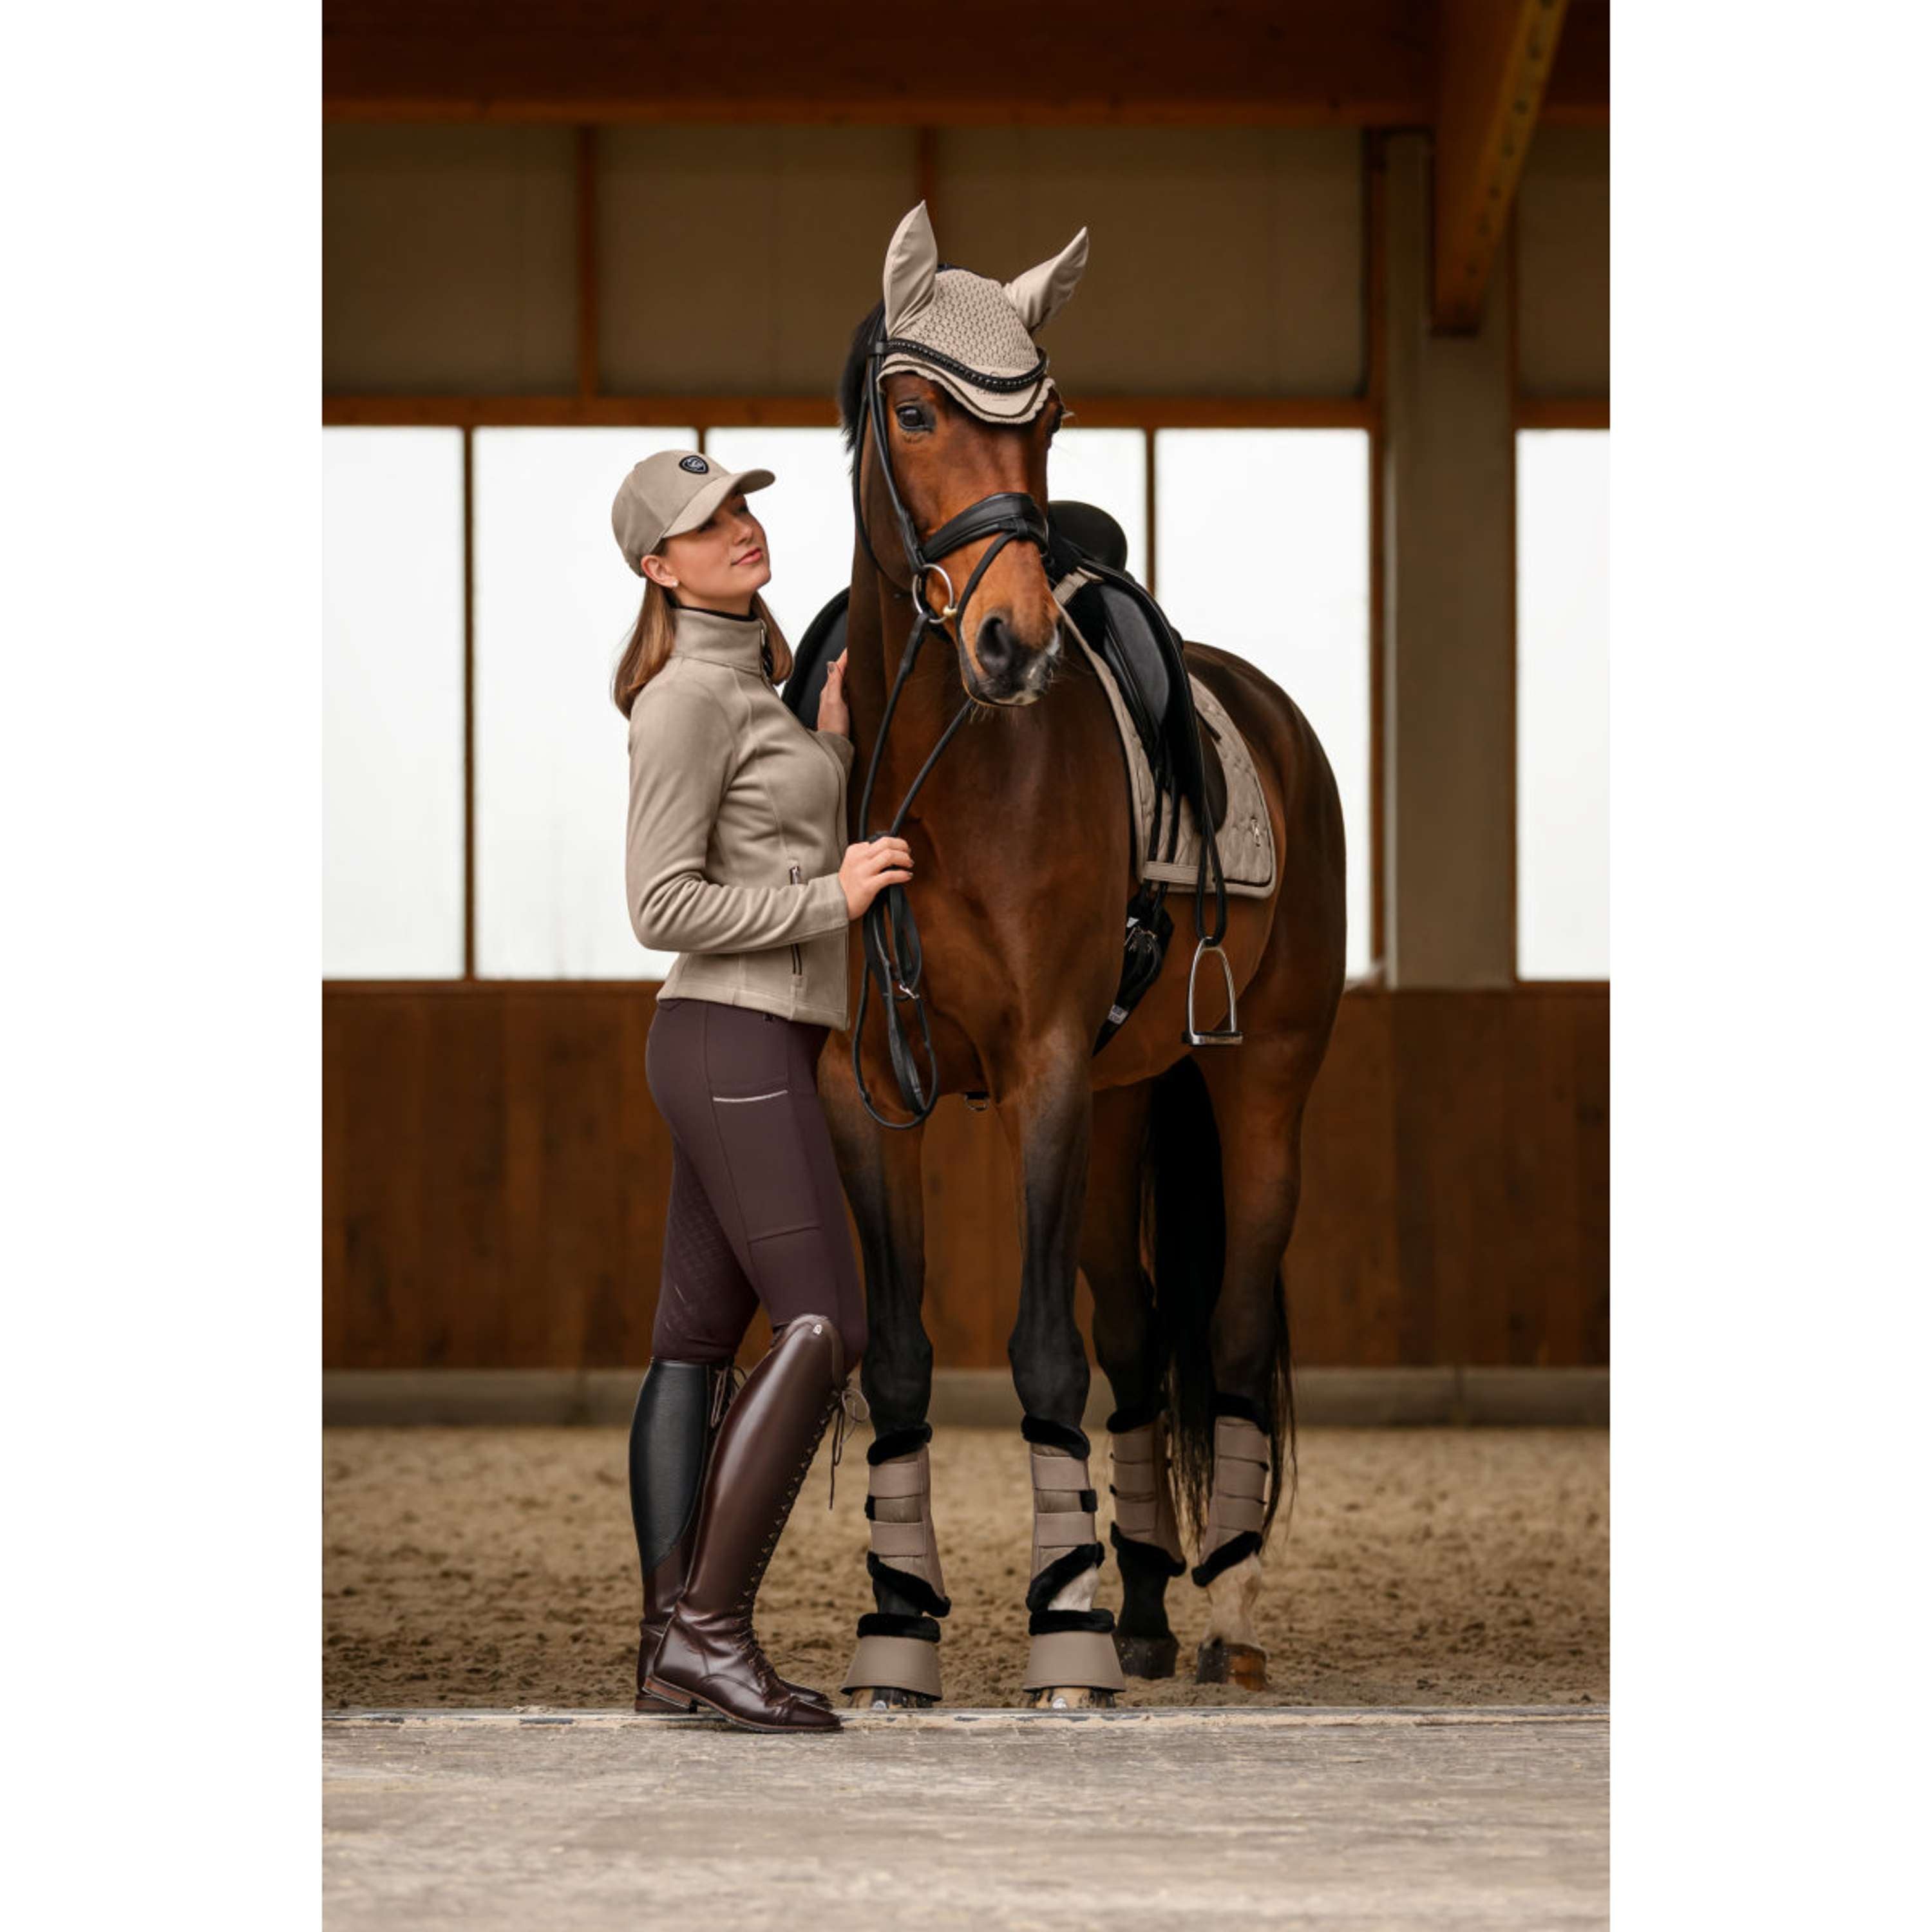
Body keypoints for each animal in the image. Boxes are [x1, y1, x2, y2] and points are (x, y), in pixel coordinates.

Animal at [811, 206, 1347, 1707]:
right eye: (917, 412)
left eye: (1045, 421)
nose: (1013, 643)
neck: (942, 761)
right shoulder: (869, 1086)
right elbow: (900, 1358)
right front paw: (898, 1629)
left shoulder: (1043, 1069)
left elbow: (1040, 1353)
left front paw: (1064, 1635)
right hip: (1119, 1110)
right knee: (1139, 1333)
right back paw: (1152, 1601)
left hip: (1260, 1085)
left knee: (1228, 1329)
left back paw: (1224, 1609)